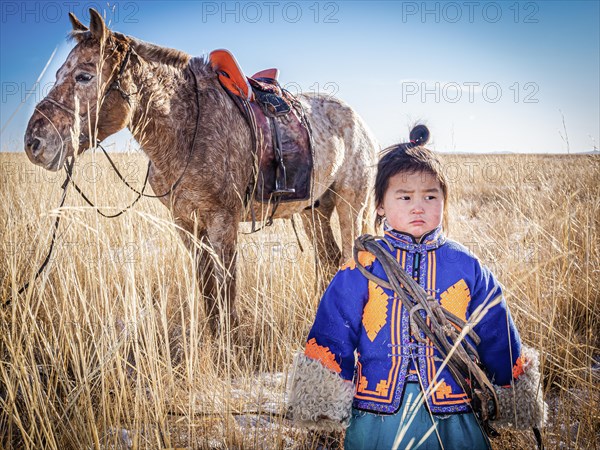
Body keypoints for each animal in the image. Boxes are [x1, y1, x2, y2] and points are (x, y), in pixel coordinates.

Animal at [24, 8, 380, 336]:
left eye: (84, 76)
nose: (34, 142)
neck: (187, 125)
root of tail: (360, 121)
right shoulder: (186, 223)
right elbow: (208, 291)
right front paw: (215, 339)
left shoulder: (223, 221)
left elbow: (227, 290)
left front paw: (232, 345)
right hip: (313, 210)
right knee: (329, 259)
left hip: (352, 206)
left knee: (348, 258)